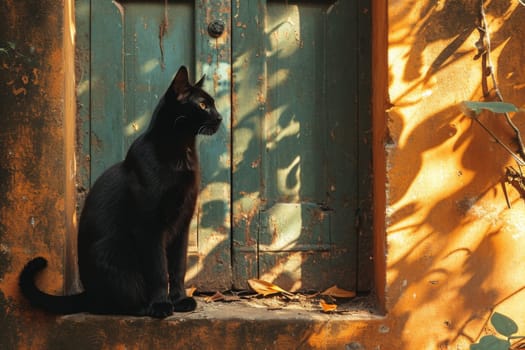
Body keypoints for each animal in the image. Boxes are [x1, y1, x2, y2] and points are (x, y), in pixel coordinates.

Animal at [18, 65, 221, 318]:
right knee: (113, 304)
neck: (181, 153)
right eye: (203, 105)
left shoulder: (182, 223)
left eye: (213, 104)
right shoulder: (148, 226)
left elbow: (177, 269)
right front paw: (162, 305)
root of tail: (87, 292)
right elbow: (158, 270)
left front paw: (180, 300)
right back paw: (145, 307)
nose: (220, 117)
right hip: (113, 251)